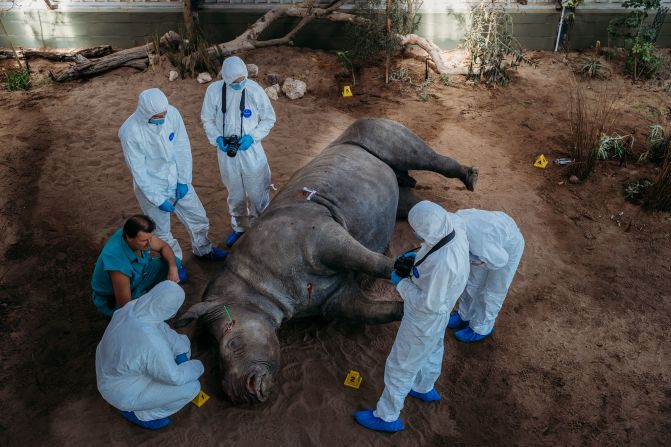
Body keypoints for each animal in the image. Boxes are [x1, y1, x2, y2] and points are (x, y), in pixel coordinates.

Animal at [173, 117, 478, 404]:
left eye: (233, 344)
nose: (238, 395)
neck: (254, 285)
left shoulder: (321, 236)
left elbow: (371, 261)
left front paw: (409, 268)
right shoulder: (331, 298)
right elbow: (371, 311)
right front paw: (419, 314)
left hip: (375, 132)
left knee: (414, 155)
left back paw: (471, 180)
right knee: (406, 203)